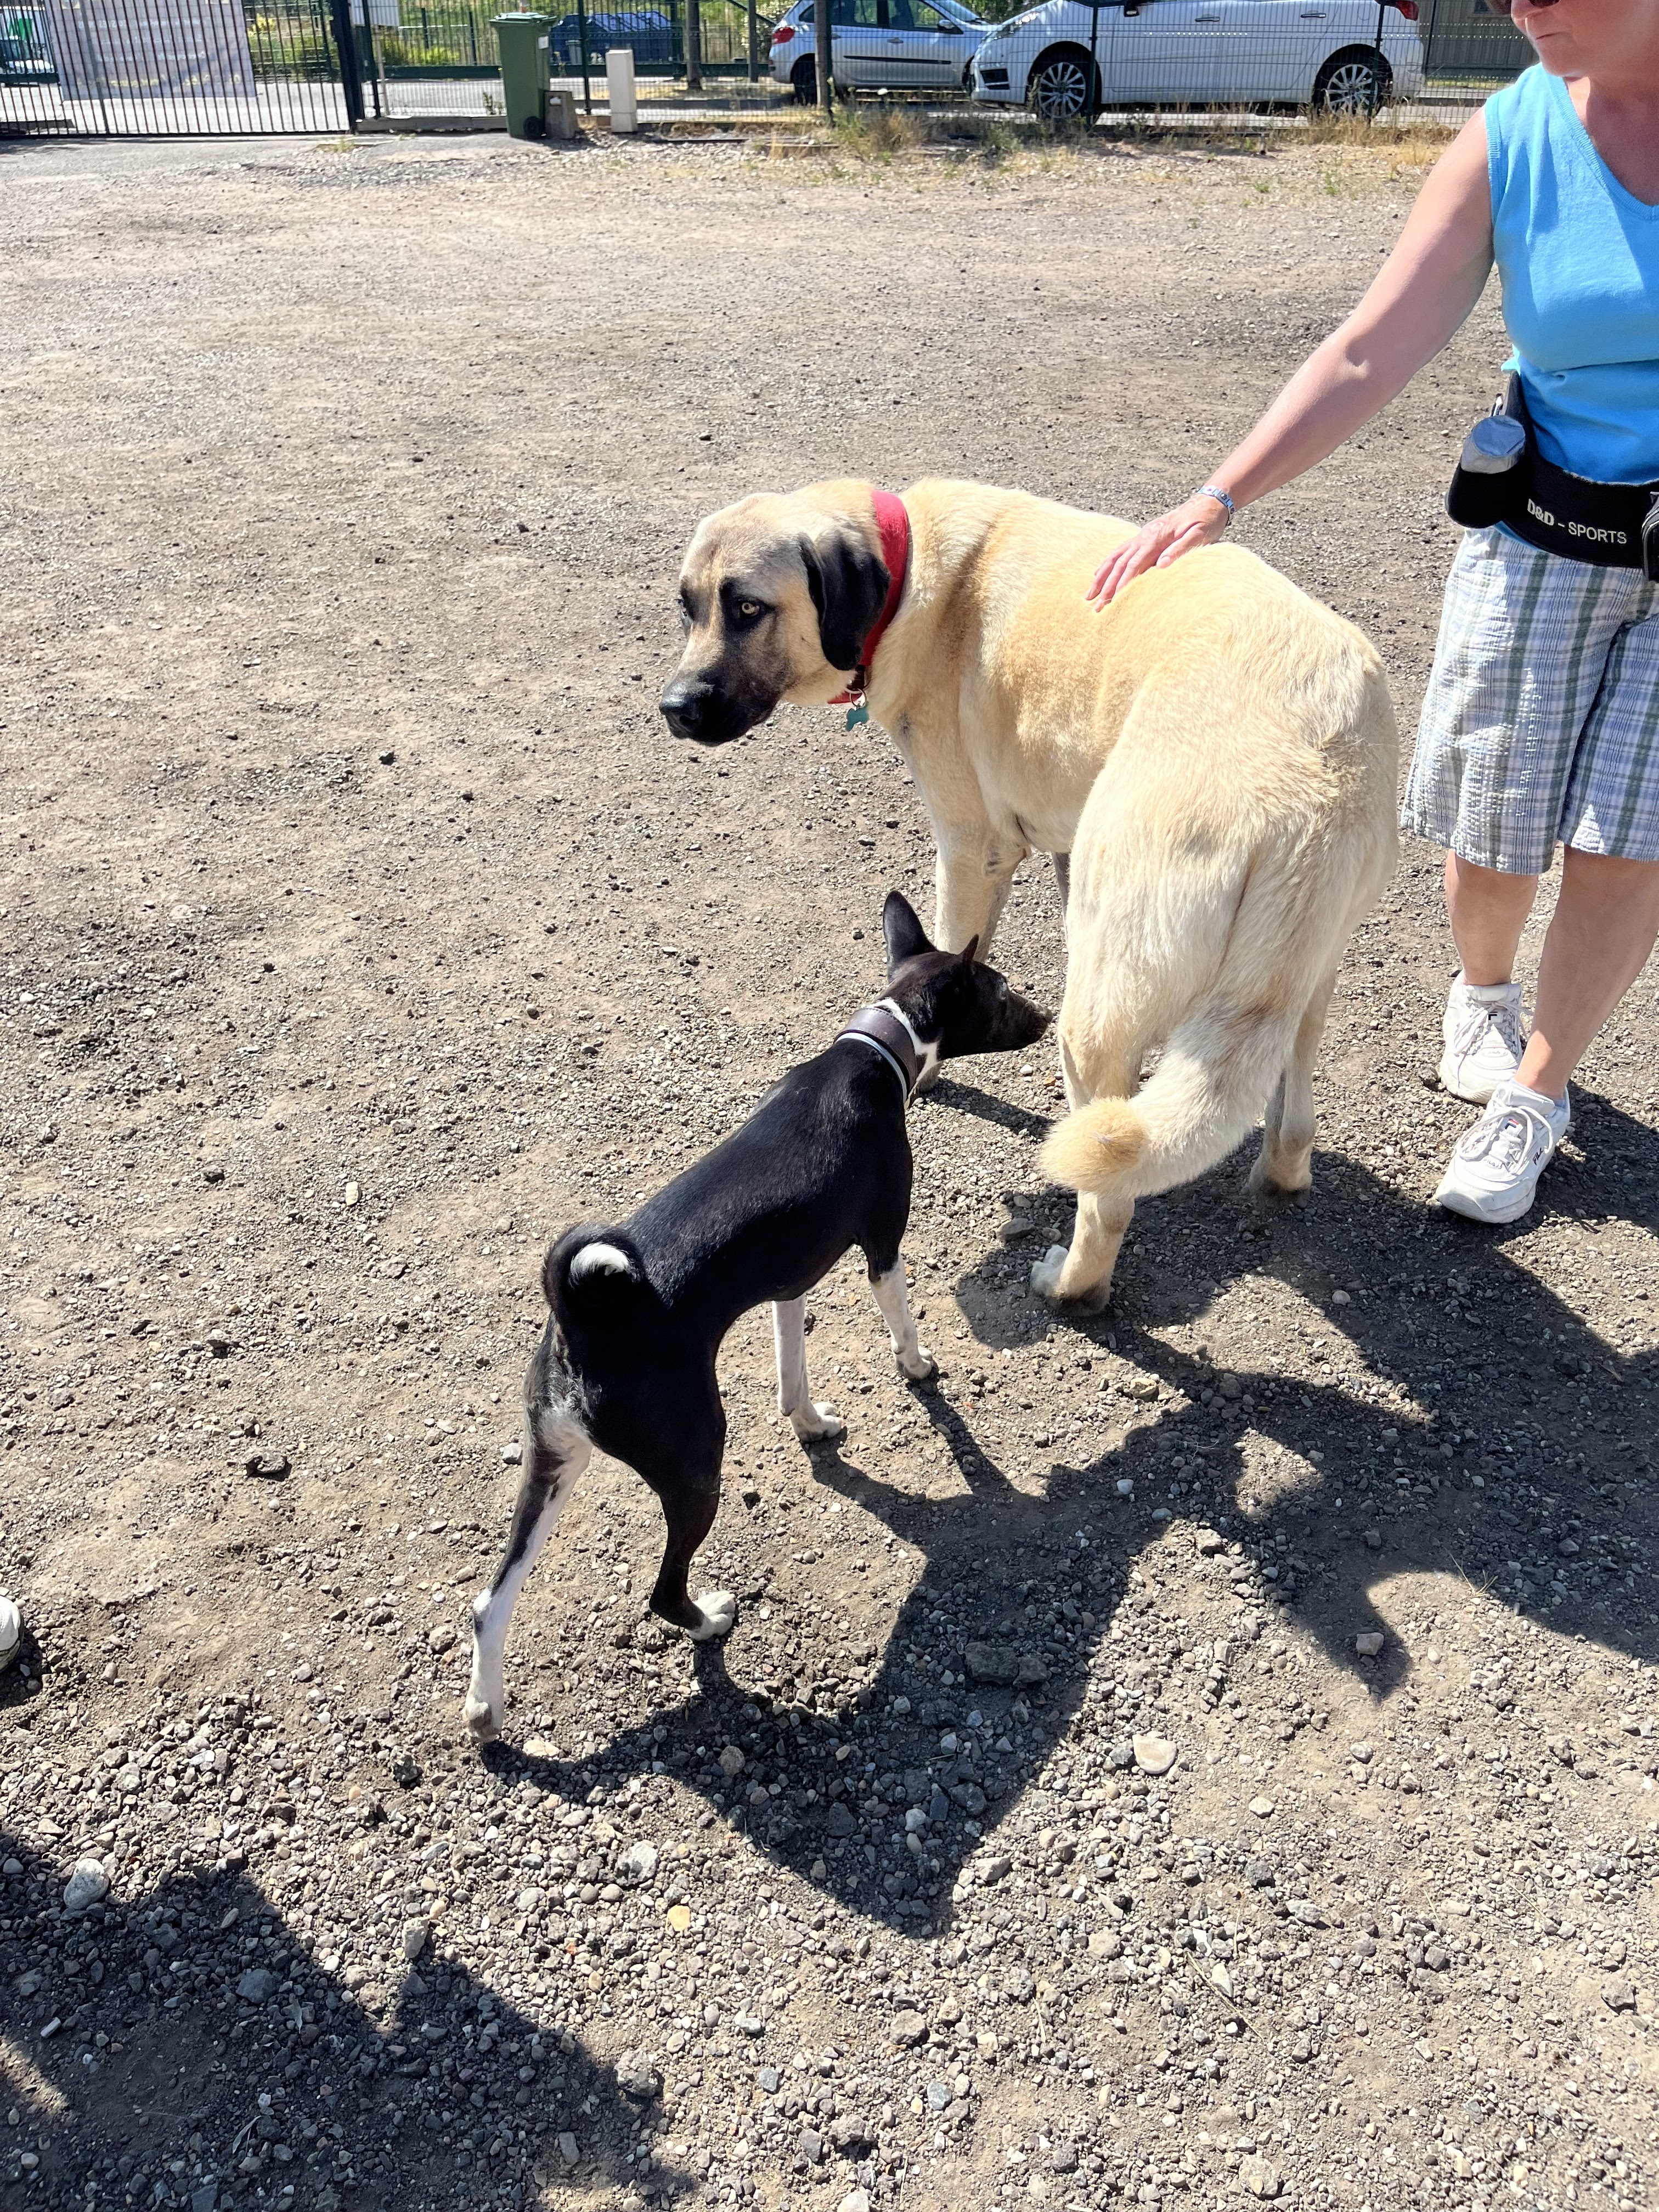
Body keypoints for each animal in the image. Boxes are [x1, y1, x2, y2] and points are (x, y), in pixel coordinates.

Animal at [463, 891, 1048, 1742]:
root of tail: (580, 1321)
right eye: (1003, 992)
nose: (1048, 1018)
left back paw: (485, 1705)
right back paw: (709, 1621)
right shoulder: (883, 1247)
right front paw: (918, 1367)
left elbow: (791, 1372)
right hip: (695, 1466)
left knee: (490, 1601)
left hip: (552, 1467)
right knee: (662, 1592)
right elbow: (904, 1327)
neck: (874, 1053)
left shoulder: (788, 1284)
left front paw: (811, 1424)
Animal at [662, 477, 1399, 1310]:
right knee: (1293, 1114)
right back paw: (1279, 1176)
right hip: (1307, 973)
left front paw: (923, 1066)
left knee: (1109, 1195)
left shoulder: (972, 847)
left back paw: (1070, 1288)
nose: (674, 707)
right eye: (688, 606)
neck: (910, 567)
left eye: (748, 607)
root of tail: (1311, 773)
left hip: (1097, 1018)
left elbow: (944, 955)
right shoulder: (1064, 849)